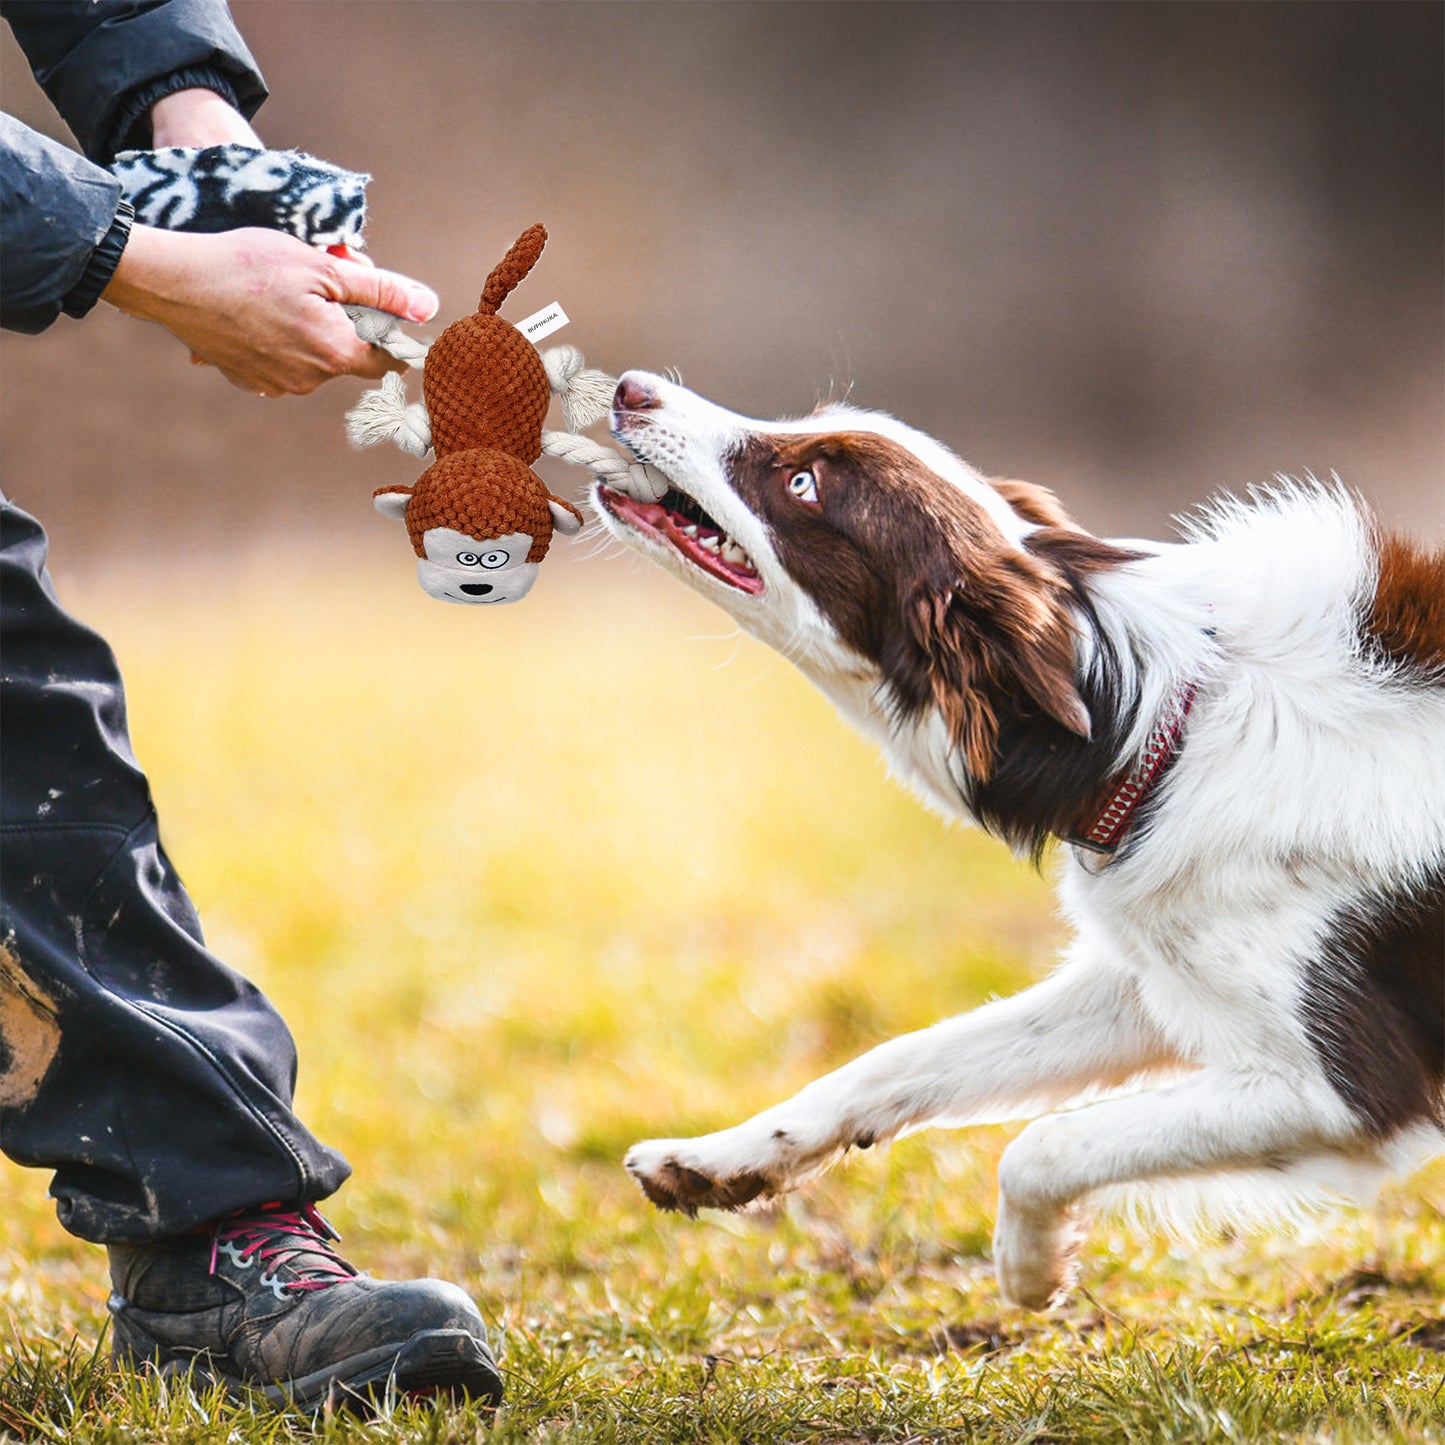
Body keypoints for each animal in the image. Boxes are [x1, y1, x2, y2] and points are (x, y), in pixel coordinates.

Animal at [589, 372, 1445, 1312]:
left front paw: (1031, 1264)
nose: (631, 388)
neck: (1152, 728)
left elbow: (1042, 1142)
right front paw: (718, 1158)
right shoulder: (1155, 971)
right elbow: (899, 1056)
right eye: (804, 430)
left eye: (805, 484)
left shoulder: (1340, 1087)